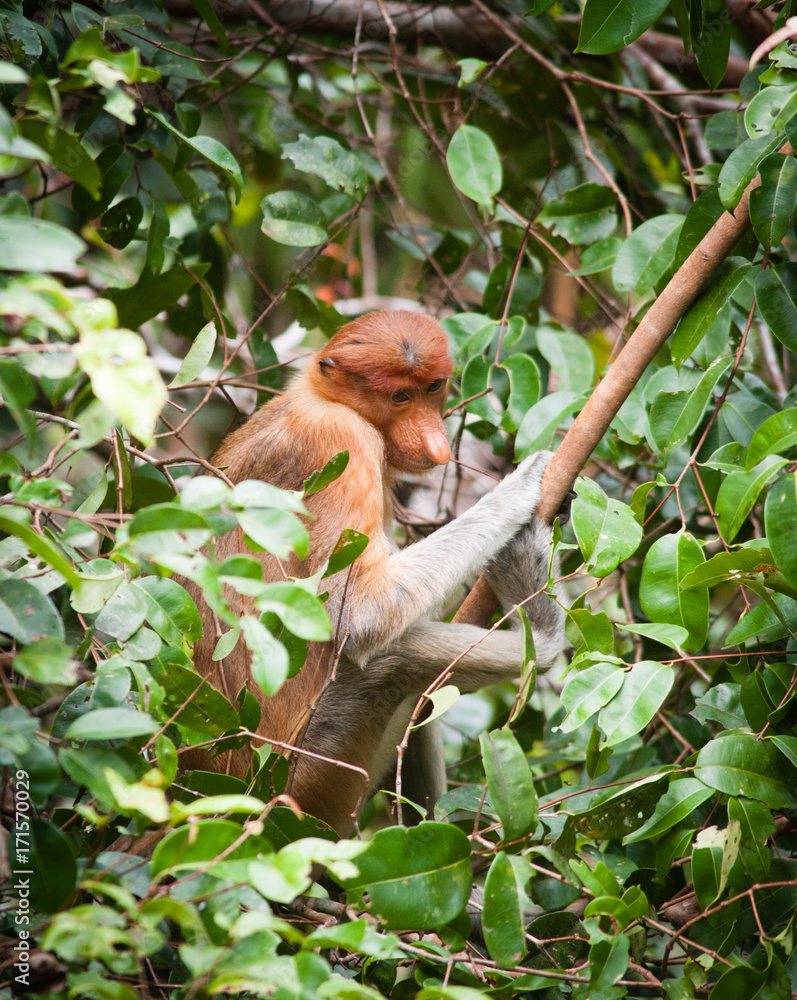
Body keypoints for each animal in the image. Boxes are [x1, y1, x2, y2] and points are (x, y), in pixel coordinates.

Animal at [189, 310, 567, 836]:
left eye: (433, 388)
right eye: (399, 398)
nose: (436, 444)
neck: (321, 397)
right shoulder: (340, 441)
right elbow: (361, 614)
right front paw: (524, 485)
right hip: (309, 774)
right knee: (391, 659)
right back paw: (543, 634)